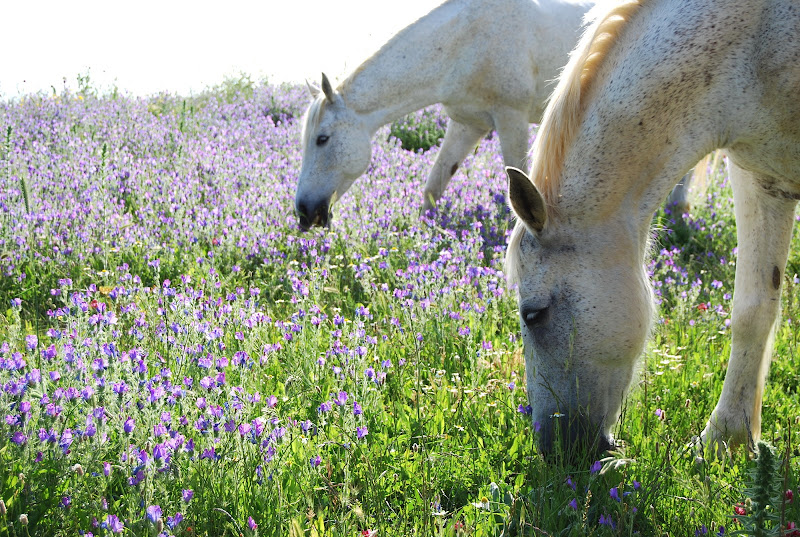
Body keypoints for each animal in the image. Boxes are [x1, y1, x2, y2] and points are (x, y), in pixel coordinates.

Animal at [292, 0, 588, 228]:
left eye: (322, 139)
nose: (304, 212)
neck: (467, 41)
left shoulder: (510, 118)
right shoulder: (467, 124)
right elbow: (435, 185)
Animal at [510, 0, 796, 454]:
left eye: (533, 315)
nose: (554, 449)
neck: (756, 41)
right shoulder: (763, 176)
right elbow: (753, 311)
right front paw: (726, 440)